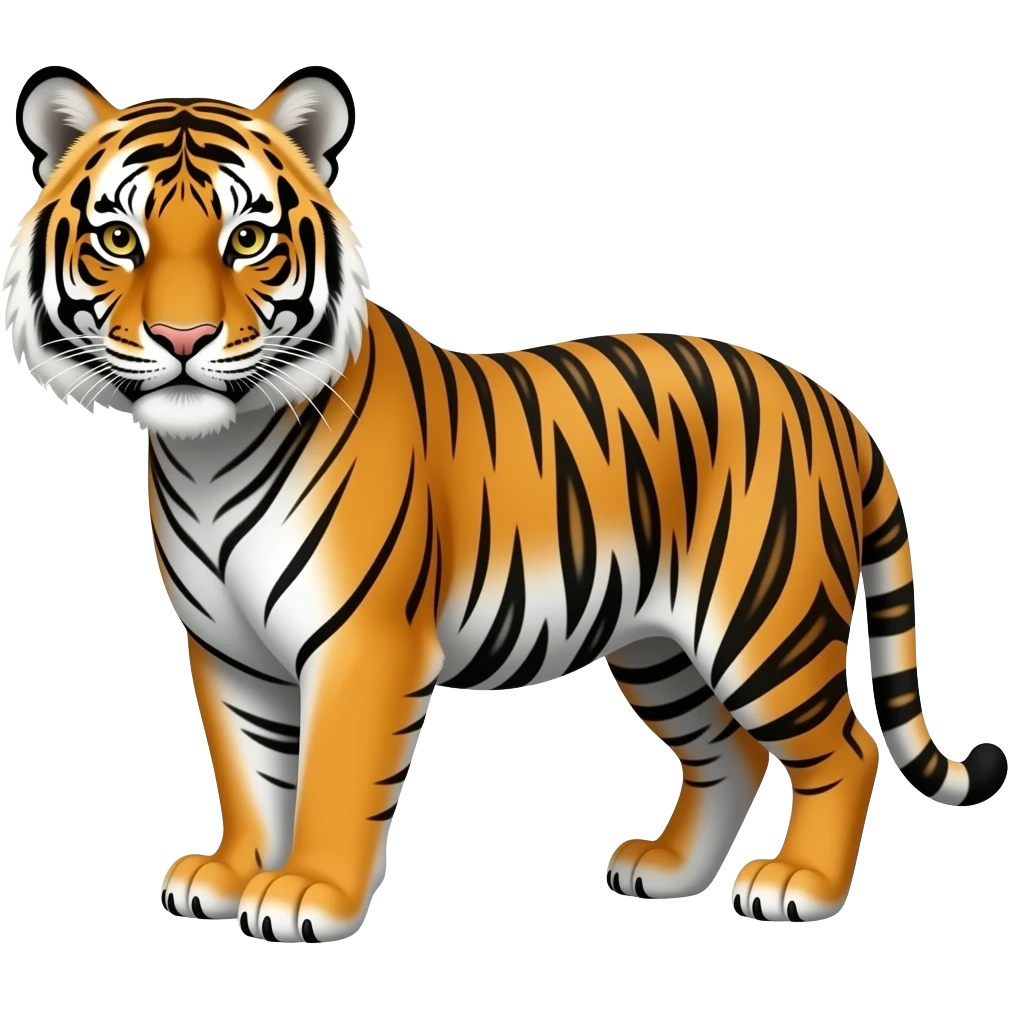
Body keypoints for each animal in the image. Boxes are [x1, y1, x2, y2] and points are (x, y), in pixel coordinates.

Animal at [4, 64, 1005, 944]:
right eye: (120, 240)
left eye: (247, 240)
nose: (183, 337)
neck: (206, 456)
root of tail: (831, 403)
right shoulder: (228, 650)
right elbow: (249, 769)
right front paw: (230, 871)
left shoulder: (363, 642)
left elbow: (331, 778)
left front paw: (307, 894)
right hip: (658, 646)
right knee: (732, 753)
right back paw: (667, 870)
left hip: (764, 624)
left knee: (844, 748)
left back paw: (799, 886)